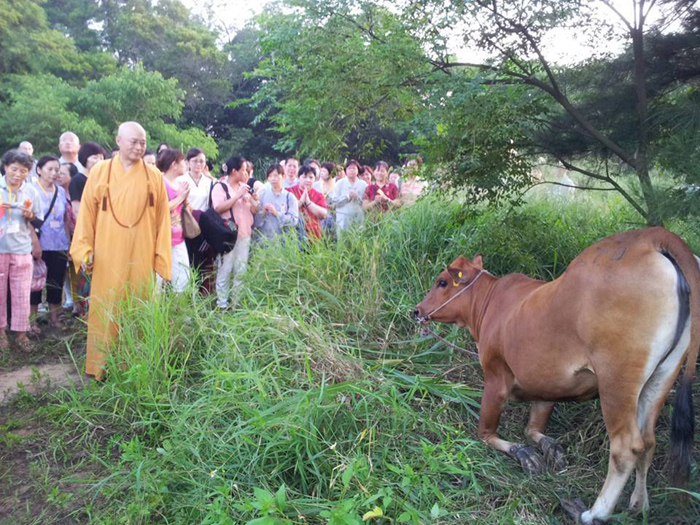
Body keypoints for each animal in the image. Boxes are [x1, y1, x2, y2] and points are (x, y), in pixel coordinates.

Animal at [412, 227, 696, 520]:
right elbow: (533, 429)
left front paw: (520, 452)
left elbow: (486, 433)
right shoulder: (546, 386)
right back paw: (639, 505)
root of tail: (651, 237)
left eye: (442, 282)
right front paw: (547, 446)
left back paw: (594, 513)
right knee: (648, 442)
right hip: (663, 376)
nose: (417, 310)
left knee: (626, 448)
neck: (488, 306)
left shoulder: (495, 376)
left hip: (616, 380)